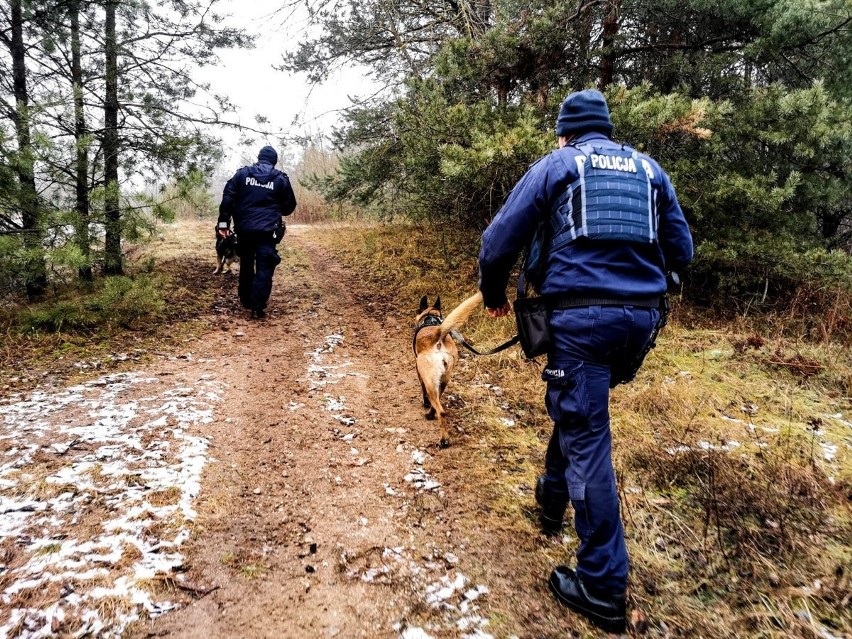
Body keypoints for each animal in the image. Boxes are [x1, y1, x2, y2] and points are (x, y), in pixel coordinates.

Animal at [414, 292, 482, 448]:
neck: (430, 317)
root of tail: (439, 337)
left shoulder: (419, 370)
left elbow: (422, 390)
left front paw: (425, 403)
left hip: (431, 382)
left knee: (440, 410)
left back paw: (443, 440)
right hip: (444, 380)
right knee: (439, 402)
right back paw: (431, 415)